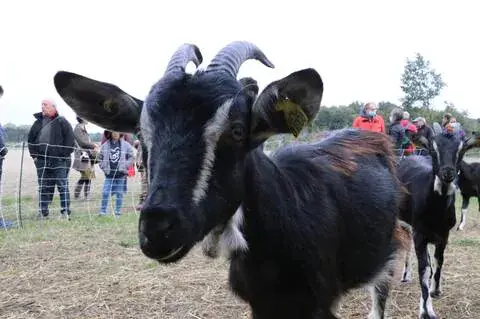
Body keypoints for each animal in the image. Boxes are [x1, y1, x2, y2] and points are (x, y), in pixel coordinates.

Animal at [398, 130, 480, 319]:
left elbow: (438, 261)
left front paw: (435, 290)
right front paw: (426, 311)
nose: (448, 172)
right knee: (407, 248)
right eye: (433, 149)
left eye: (462, 149)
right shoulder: (419, 233)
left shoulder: (444, 235)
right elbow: (424, 269)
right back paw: (405, 275)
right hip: (405, 224)